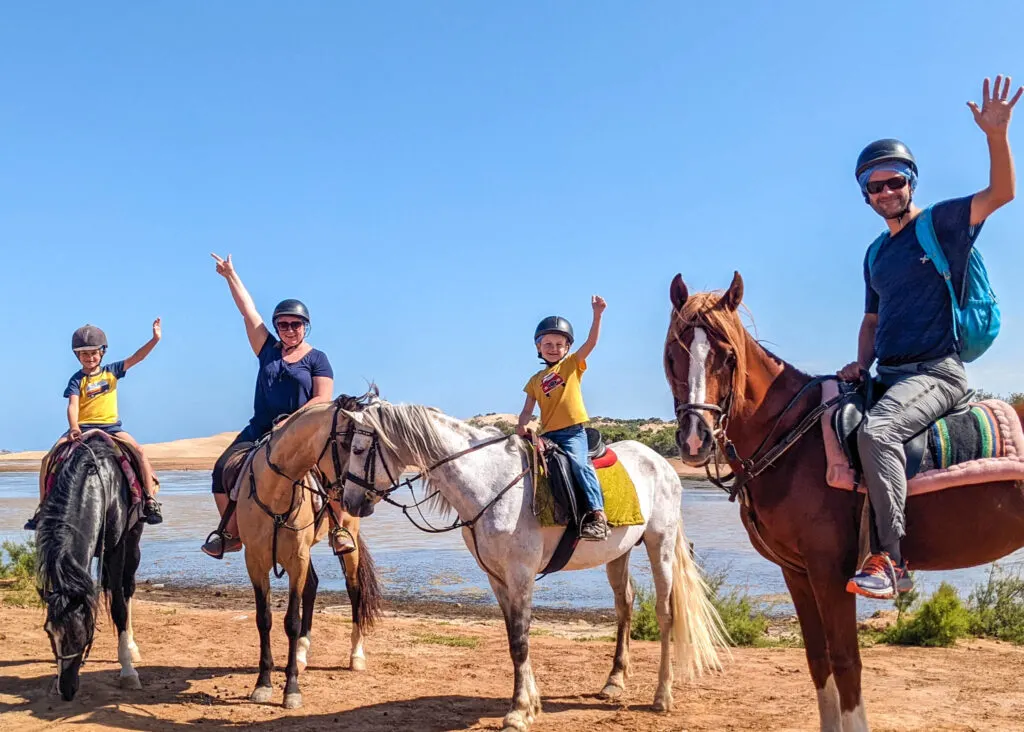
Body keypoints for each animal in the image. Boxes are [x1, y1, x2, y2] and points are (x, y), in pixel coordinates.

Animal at [35, 432, 146, 700]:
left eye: (82, 632)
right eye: (49, 632)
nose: (66, 690)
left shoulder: (116, 548)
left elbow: (118, 606)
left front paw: (128, 672)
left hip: (133, 545)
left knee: (127, 589)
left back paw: (132, 647)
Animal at [232, 395, 385, 708]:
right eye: (350, 444)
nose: (366, 497)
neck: (276, 492)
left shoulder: (297, 559)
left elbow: (291, 621)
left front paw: (291, 689)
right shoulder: (255, 560)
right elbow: (264, 619)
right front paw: (262, 684)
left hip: (347, 544)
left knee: (354, 590)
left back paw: (356, 655)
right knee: (312, 586)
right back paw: (302, 654)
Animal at [663, 272, 1024, 728]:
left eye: (728, 357)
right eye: (672, 355)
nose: (696, 438)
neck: (794, 439)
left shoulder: (830, 570)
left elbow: (846, 661)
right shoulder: (796, 572)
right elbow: (819, 659)